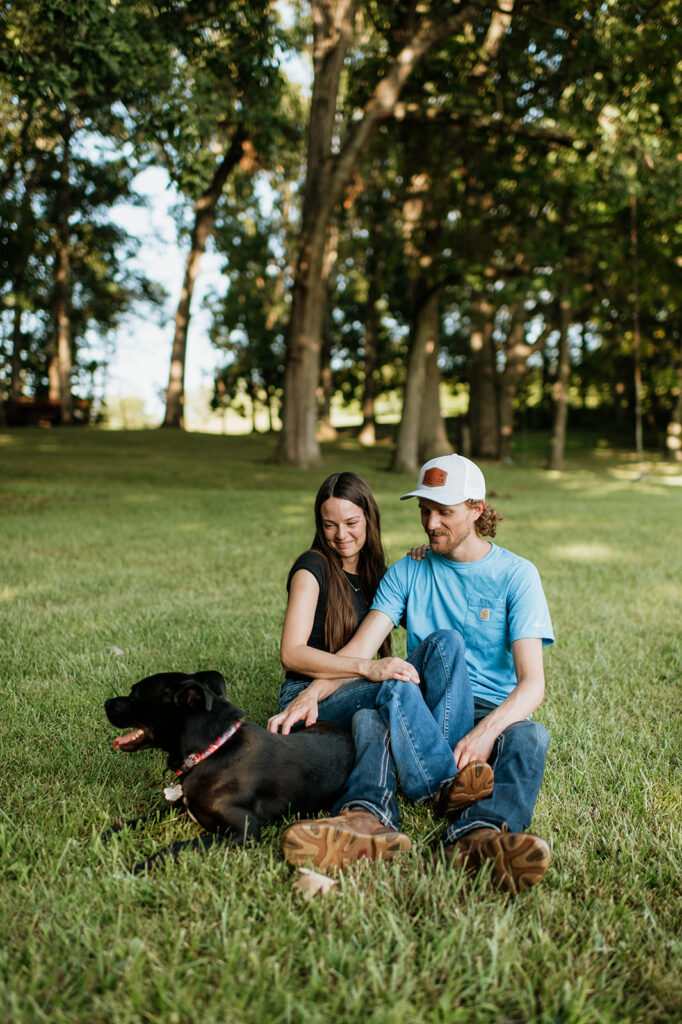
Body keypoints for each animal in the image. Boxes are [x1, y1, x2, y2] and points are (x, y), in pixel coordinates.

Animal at [104, 671, 356, 872]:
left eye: (134, 696)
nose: (106, 702)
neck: (211, 752)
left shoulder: (245, 830)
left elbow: (179, 846)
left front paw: (137, 868)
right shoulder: (179, 806)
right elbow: (140, 819)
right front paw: (106, 833)